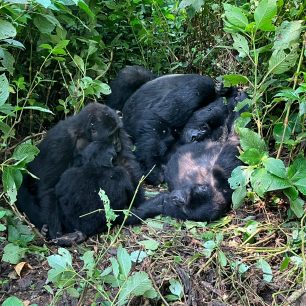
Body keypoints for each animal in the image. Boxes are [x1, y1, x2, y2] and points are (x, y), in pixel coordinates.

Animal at [16, 103, 145, 244]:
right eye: (111, 136)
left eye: (117, 132)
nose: (117, 143)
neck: (84, 134)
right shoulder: (60, 141)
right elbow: (48, 188)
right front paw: (56, 234)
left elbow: (127, 163)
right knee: (23, 193)